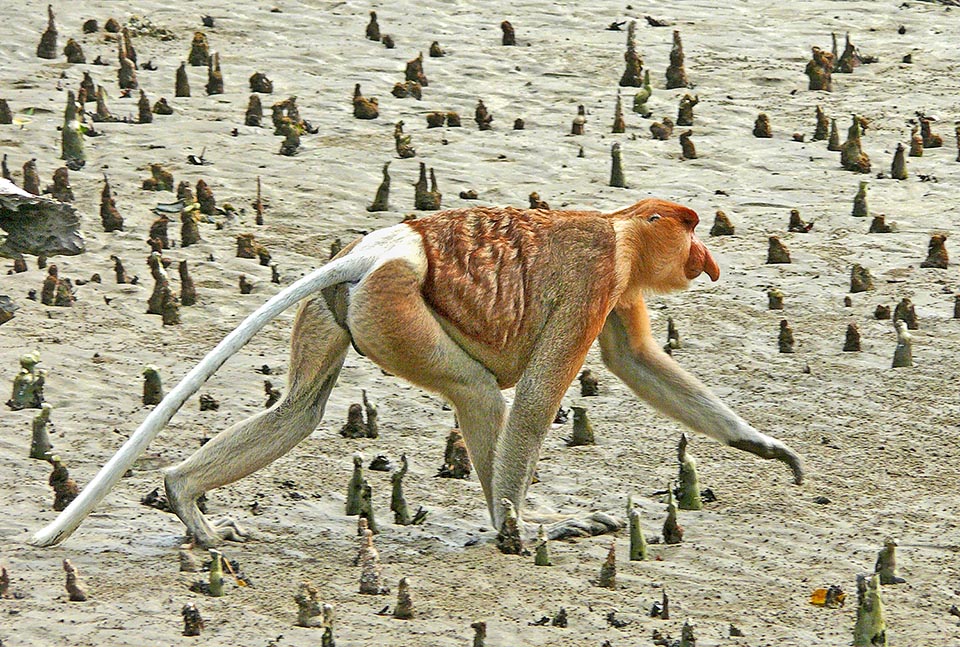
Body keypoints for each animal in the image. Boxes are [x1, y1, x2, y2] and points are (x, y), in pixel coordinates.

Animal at [30, 199, 804, 552]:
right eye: (690, 226)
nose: (705, 256)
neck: (620, 229)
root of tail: (380, 249)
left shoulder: (619, 292)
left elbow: (639, 363)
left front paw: (769, 449)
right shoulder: (596, 279)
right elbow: (536, 400)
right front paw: (538, 526)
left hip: (342, 306)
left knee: (298, 411)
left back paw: (185, 496)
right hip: (396, 306)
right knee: (477, 393)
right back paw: (512, 527)